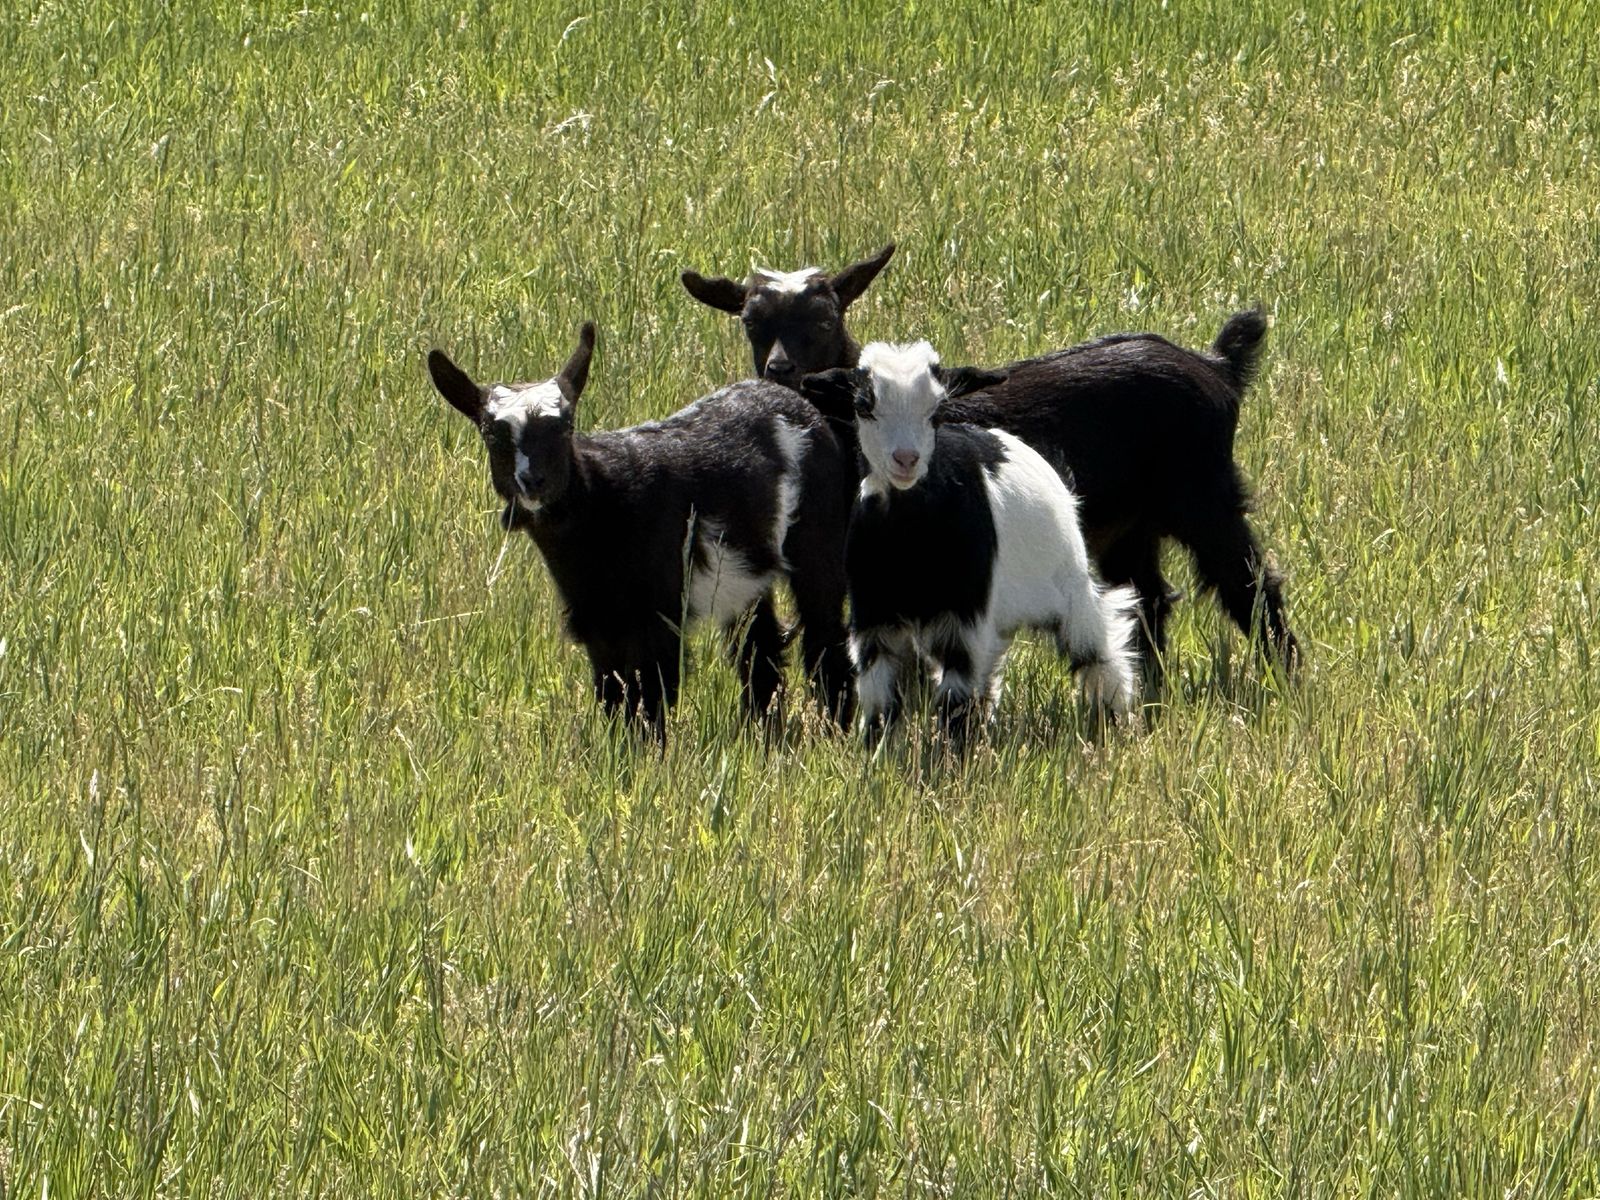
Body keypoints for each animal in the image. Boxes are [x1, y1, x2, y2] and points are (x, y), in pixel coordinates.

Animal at [427, 323, 854, 739]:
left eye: (566, 427)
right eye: (492, 435)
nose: (534, 481)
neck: (602, 505)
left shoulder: (658, 613)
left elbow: (651, 699)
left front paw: (647, 756)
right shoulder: (599, 620)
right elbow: (614, 697)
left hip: (819, 537)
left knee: (824, 630)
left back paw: (836, 727)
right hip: (746, 570)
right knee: (758, 643)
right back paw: (762, 733)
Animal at [682, 243, 1299, 682]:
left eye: (825, 322)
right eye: (751, 323)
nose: (782, 370)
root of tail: (1216, 366)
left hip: (1204, 494)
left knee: (1247, 585)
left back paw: (1286, 679)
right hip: (1130, 524)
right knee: (1147, 600)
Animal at [803, 341, 1140, 744]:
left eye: (937, 411)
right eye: (863, 406)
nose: (906, 459)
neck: (909, 544)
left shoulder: (964, 620)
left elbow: (955, 702)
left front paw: (953, 755)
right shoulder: (873, 619)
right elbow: (879, 703)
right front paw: (877, 752)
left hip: (1070, 584)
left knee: (1098, 648)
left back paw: (1115, 719)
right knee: (990, 676)